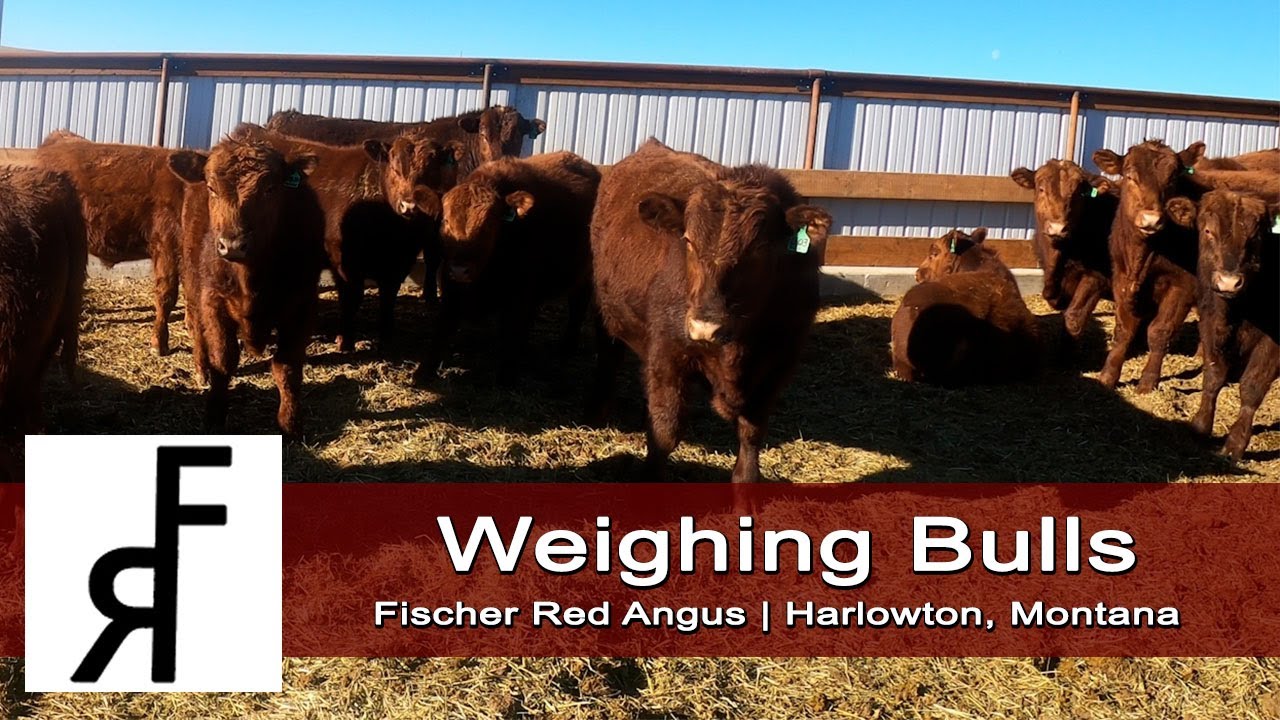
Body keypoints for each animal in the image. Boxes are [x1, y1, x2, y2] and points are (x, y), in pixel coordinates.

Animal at [167, 139, 325, 435]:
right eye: (211, 188)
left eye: (270, 189)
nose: (232, 244)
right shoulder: (214, 302)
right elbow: (223, 360)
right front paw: (214, 415)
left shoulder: (301, 307)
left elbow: (287, 368)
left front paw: (290, 425)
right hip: (193, 286)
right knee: (197, 330)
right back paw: (201, 370)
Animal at [231, 123, 456, 350]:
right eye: (394, 167)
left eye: (431, 171)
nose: (409, 205)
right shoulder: (343, 260)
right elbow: (352, 297)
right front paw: (345, 341)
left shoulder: (398, 264)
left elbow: (388, 299)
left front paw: (386, 339)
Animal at [414, 152, 600, 386]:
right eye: (445, 220)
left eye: (489, 224)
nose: (460, 270)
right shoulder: (452, 288)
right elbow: (442, 327)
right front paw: (423, 371)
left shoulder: (520, 292)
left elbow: (512, 329)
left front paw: (506, 377)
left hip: (584, 275)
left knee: (578, 305)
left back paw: (567, 346)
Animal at [590, 139, 832, 484]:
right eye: (689, 240)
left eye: (759, 249)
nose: (704, 326)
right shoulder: (667, 356)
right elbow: (665, 431)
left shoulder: (777, 366)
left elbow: (752, 433)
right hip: (604, 308)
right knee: (608, 356)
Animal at [1165, 190, 1278, 460]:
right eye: (1208, 231)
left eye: (1256, 236)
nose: (1229, 282)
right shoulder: (1209, 326)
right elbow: (1213, 376)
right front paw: (1200, 426)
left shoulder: (1271, 346)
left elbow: (1252, 388)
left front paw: (1235, 444)